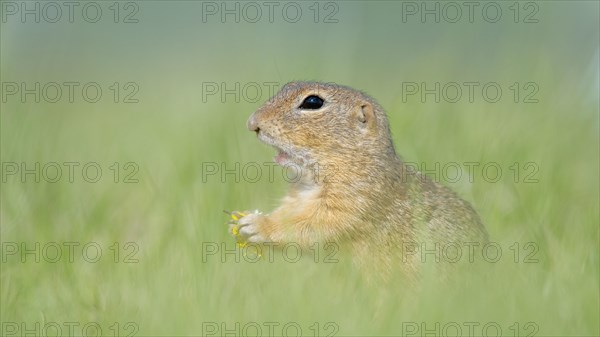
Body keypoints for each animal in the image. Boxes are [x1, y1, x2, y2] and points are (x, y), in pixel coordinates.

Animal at [230, 81, 488, 276]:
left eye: (312, 102)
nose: (252, 123)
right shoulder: (297, 199)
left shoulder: (356, 200)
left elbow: (314, 224)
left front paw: (255, 225)